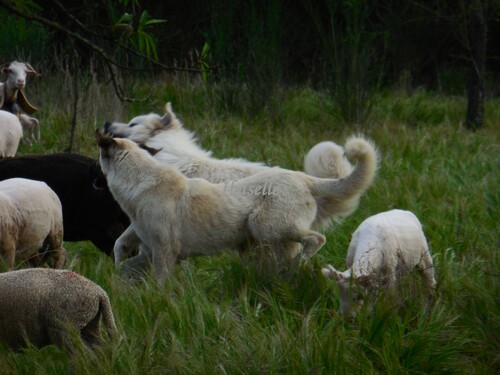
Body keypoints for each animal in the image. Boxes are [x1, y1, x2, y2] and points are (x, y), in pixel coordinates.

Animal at [95, 131, 376, 284]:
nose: (94, 181)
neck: (141, 183)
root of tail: (301, 177)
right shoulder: (148, 250)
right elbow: (122, 254)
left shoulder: (166, 251)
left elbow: (160, 282)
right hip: (266, 241)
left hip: (265, 226)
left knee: (316, 238)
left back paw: (301, 262)